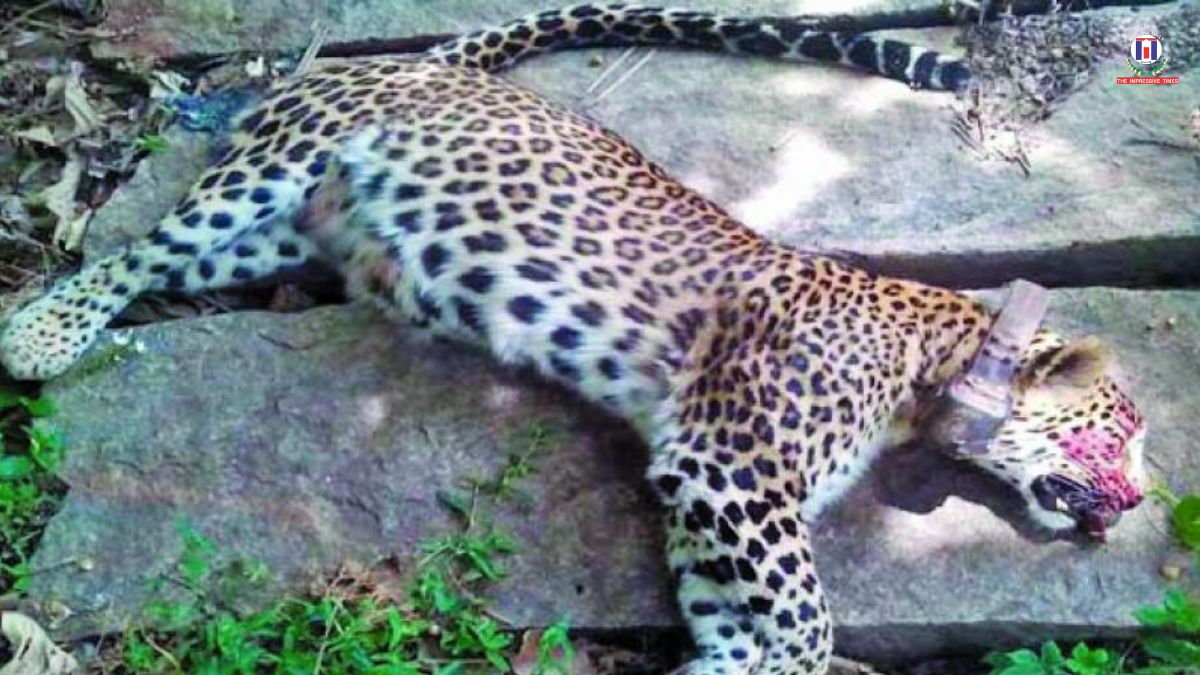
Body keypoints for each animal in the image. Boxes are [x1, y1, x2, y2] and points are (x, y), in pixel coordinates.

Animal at [0, 5, 1147, 674]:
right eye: (1124, 430)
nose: (1138, 501)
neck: (933, 361)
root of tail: (436, 67)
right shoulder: (731, 470)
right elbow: (807, 621)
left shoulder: (700, 495)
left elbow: (741, 625)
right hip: (273, 167)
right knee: (138, 248)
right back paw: (38, 333)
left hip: (274, 239)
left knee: (168, 264)